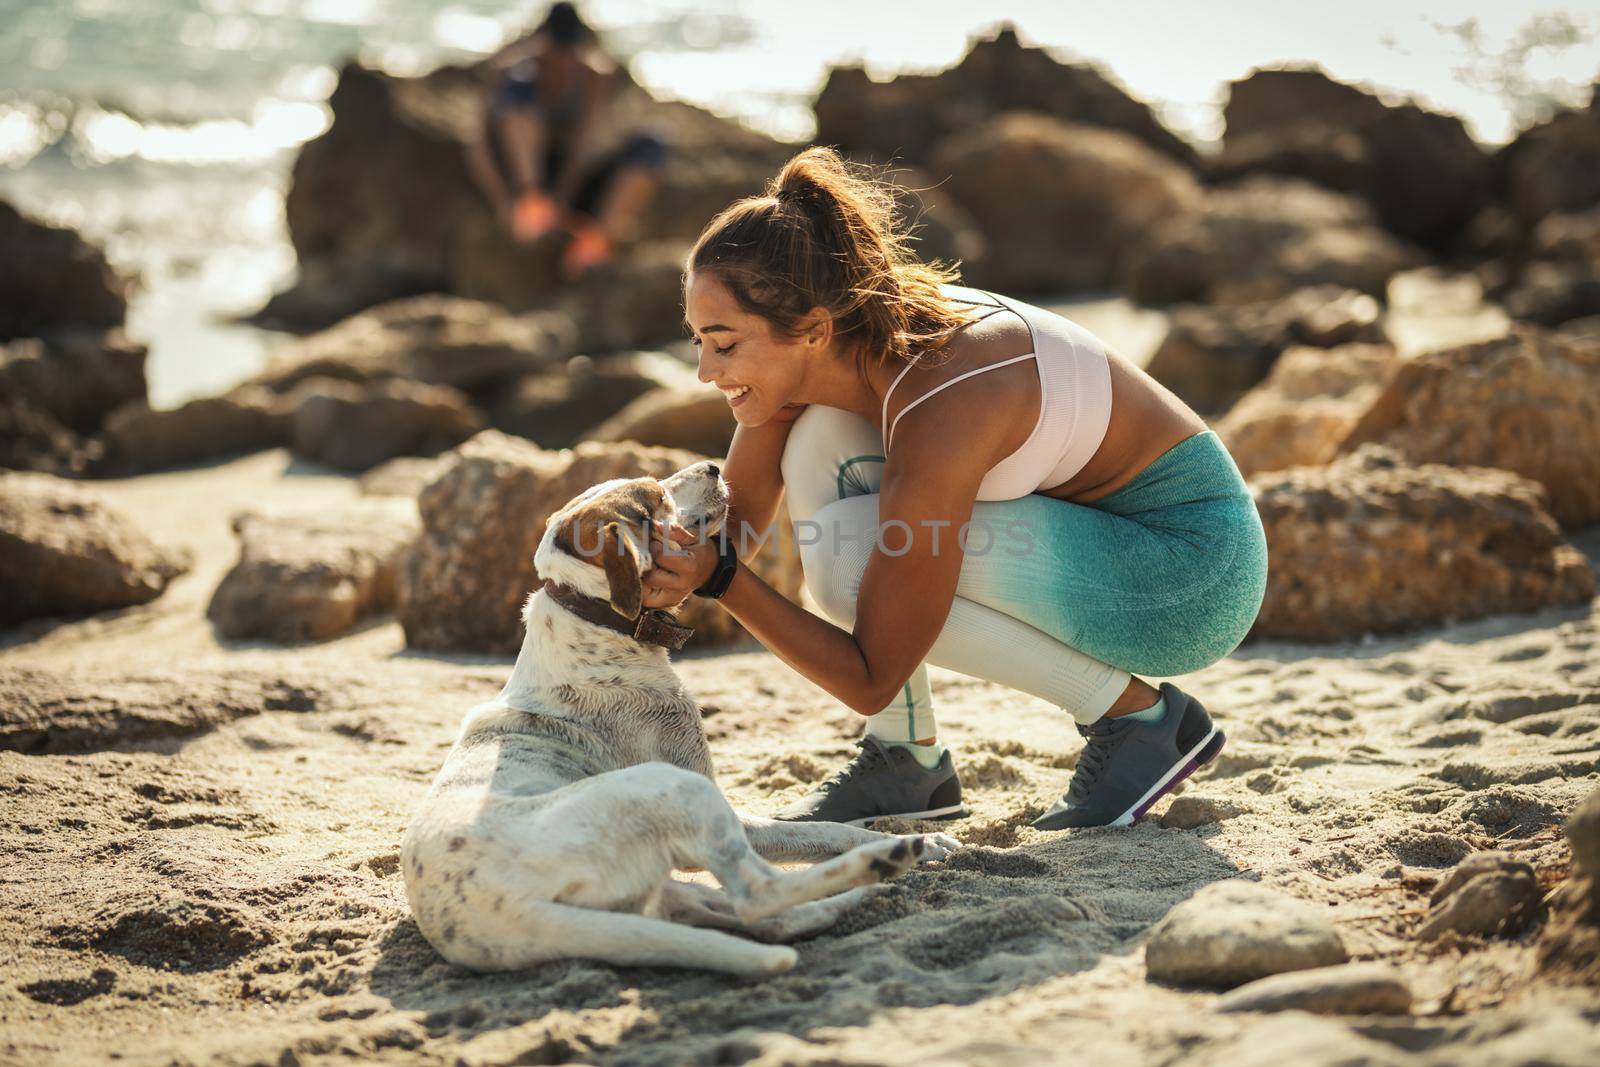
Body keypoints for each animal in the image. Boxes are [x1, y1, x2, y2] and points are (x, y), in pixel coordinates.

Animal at [400, 460, 953, 979]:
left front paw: (918, 842)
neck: (595, 617)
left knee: (762, 921)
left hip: (665, 892)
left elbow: (833, 830)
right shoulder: (713, 793)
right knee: (758, 895)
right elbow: (827, 832)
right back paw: (876, 867)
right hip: (674, 790)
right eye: (658, 496)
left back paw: (857, 896)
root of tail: (500, 915)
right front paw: (909, 844)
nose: (713, 465)